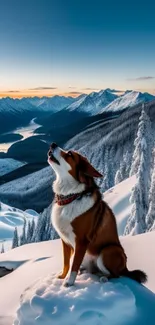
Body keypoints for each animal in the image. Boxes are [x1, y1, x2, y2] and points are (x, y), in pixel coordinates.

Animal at [47, 143, 147, 284]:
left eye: (70, 154)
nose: (53, 144)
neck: (71, 196)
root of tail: (126, 267)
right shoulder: (65, 241)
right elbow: (67, 263)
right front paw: (62, 277)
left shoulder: (81, 241)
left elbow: (74, 264)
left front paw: (69, 282)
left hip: (108, 251)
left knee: (116, 274)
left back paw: (104, 278)